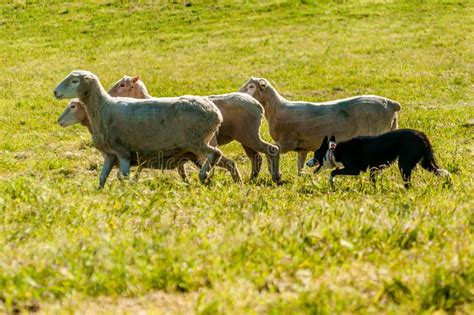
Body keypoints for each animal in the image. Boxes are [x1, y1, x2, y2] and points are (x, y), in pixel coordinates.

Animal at [54, 71, 225, 190]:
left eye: (74, 81)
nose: (55, 92)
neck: (103, 108)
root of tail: (216, 113)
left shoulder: (123, 152)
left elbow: (123, 176)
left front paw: (126, 192)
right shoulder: (110, 155)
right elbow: (102, 178)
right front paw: (100, 194)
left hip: (197, 142)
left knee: (215, 154)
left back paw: (203, 176)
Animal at [59, 76, 282, 183]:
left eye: (123, 85)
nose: (110, 93)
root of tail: (257, 104)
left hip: (248, 135)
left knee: (268, 151)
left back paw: (273, 177)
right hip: (246, 139)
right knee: (256, 158)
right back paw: (253, 178)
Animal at [239, 76, 402, 175]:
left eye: (251, 86)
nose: (238, 93)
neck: (277, 109)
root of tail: (392, 104)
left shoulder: (286, 143)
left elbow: (271, 151)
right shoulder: (302, 147)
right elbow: (300, 165)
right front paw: (301, 178)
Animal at [306, 130, 450, 189]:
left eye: (315, 155)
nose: (307, 163)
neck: (334, 151)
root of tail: (421, 135)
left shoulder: (354, 170)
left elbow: (333, 172)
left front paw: (332, 183)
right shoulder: (373, 170)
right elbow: (373, 182)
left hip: (404, 164)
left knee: (408, 183)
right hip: (425, 163)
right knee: (444, 172)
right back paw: (449, 184)